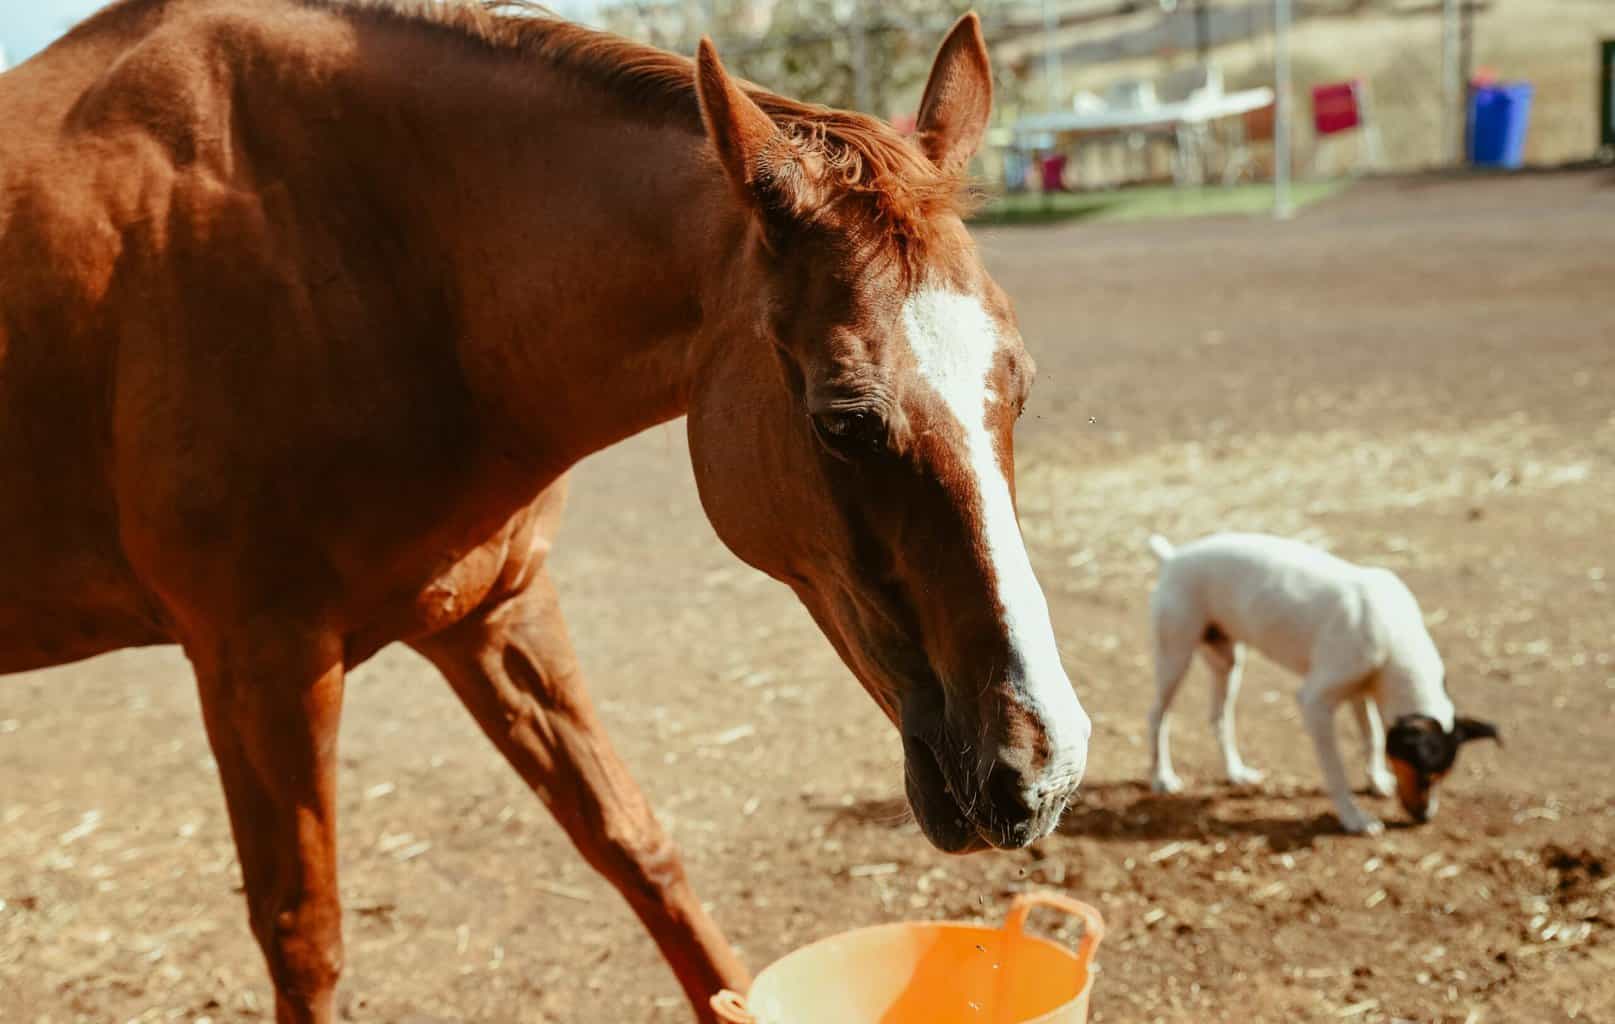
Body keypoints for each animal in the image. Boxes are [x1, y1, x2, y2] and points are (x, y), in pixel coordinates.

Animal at [0, 3, 1091, 1014]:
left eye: (1020, 387)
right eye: (842, 421)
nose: (1040, 768)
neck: (368, 252)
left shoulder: (496, 614)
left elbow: (637, 847)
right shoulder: (259, 668)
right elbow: (303, 937)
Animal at [1143, 529, 1492, 833]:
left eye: (1442, 776)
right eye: (1424, 775)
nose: (1425, 818)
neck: (1393, 635)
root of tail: (1173, 558)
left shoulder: (1359, 692)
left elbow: (1373, 737)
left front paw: (1376, 780)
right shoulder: (1315, 704)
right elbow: (1336, 771)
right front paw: (1354, 819)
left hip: (1227, 662)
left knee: (1218, 717)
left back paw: (1236, 773)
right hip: (1175, 657)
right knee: (1158, 715)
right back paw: (1162, 778)